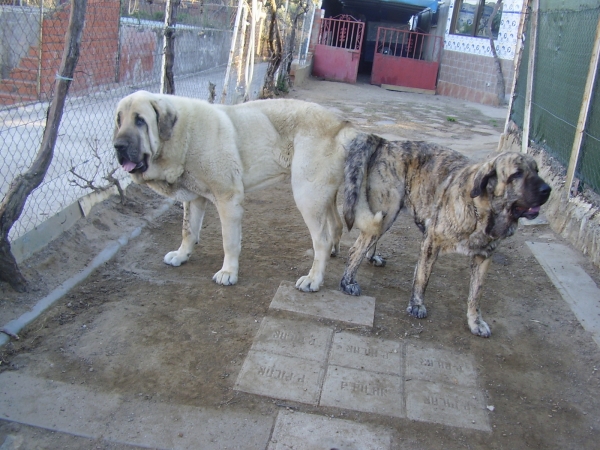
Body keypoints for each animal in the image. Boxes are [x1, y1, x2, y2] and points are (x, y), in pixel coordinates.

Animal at [114, 90, 354, 292]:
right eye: (119, 120)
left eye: (140, 120)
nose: (118, 146)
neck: (184, 135)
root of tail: (341, 124)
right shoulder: (195, 198)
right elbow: (188, 230)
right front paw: (182, 255)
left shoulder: (227, 198)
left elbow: (228, 241)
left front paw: (228, 272)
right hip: (322, 196)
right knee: (336, 225)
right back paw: (333, 253)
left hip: (307, 195)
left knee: (321, 241)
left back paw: (313, 279)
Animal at [340, 135, 552, 336]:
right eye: (517, 174)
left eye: (537, 171)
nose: (547, 190)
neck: (481, 209)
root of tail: (386, 142)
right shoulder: (431, 242)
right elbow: (422, 279)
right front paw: (416, 304)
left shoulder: (484, 258)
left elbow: (476, 294)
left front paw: (475, 322)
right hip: (387, 212)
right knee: (356, 249)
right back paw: (348, 282)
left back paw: (371, 257)